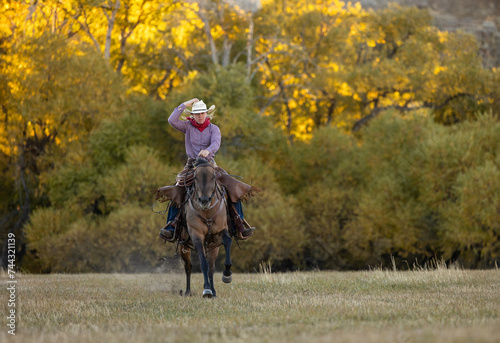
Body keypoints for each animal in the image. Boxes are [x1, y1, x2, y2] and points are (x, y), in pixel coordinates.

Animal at [179, 159, 233, 298]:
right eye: (195, 177)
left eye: (213, 176)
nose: (204, 200)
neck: (207, 212)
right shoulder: (196, 236)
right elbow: (203, 264)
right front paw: (206, 290)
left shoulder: (220, 232)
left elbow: (227, 242)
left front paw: (227, 275)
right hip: (184, 247)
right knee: (188, 267)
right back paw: (188, 291)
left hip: (212, 247)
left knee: (212, 267)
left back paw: (213, 291)